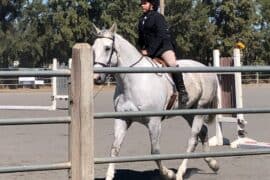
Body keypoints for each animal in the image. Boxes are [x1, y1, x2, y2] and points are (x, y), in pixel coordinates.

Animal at [93, 23, 219, 179]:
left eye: (107, 48)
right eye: (93, 49)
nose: (97, 78)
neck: (133, 81)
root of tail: (206, 68)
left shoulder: (154, 122)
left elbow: (155, 152)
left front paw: (168, 174)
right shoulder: (122, 119)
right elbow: (114, 148)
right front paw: (109, 176)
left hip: (201, 110)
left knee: (192, 139)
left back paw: (180, 173)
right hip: (188, 112)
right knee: (203, 132)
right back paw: (213, 163)